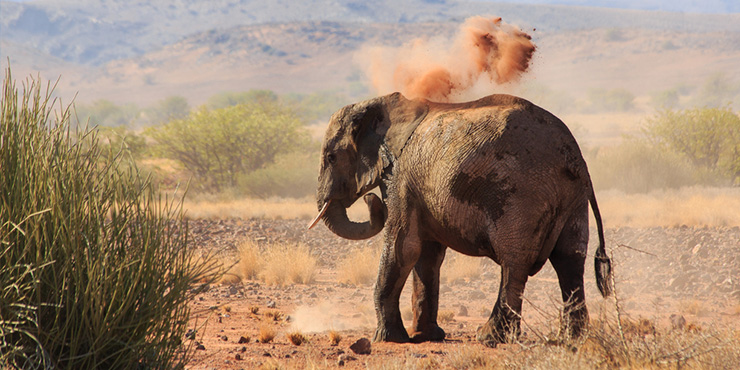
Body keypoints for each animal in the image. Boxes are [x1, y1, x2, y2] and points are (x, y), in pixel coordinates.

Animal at [308, 91, 612, 346]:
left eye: (331, 157)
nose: (371, 201)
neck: (381, 105)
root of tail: (576, 158)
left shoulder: (401, 178)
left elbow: (402, 248)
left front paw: (389, 339)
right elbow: (427, 256)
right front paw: (426, 336)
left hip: (522, 194)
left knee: (514, 263)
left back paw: (490, 338)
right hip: (572, 199)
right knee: (569, 261)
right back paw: (570, 339)